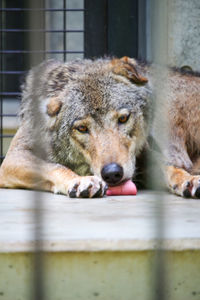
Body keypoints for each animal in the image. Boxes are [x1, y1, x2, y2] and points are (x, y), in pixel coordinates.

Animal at [0, 56, 200, 198]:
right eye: (82, 128)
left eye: (123, 118)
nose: (112, 173)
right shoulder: (15, 157)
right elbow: (55, 166)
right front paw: (80, 181)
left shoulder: (143, 156)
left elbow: (168, 167)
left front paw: (188, 180)